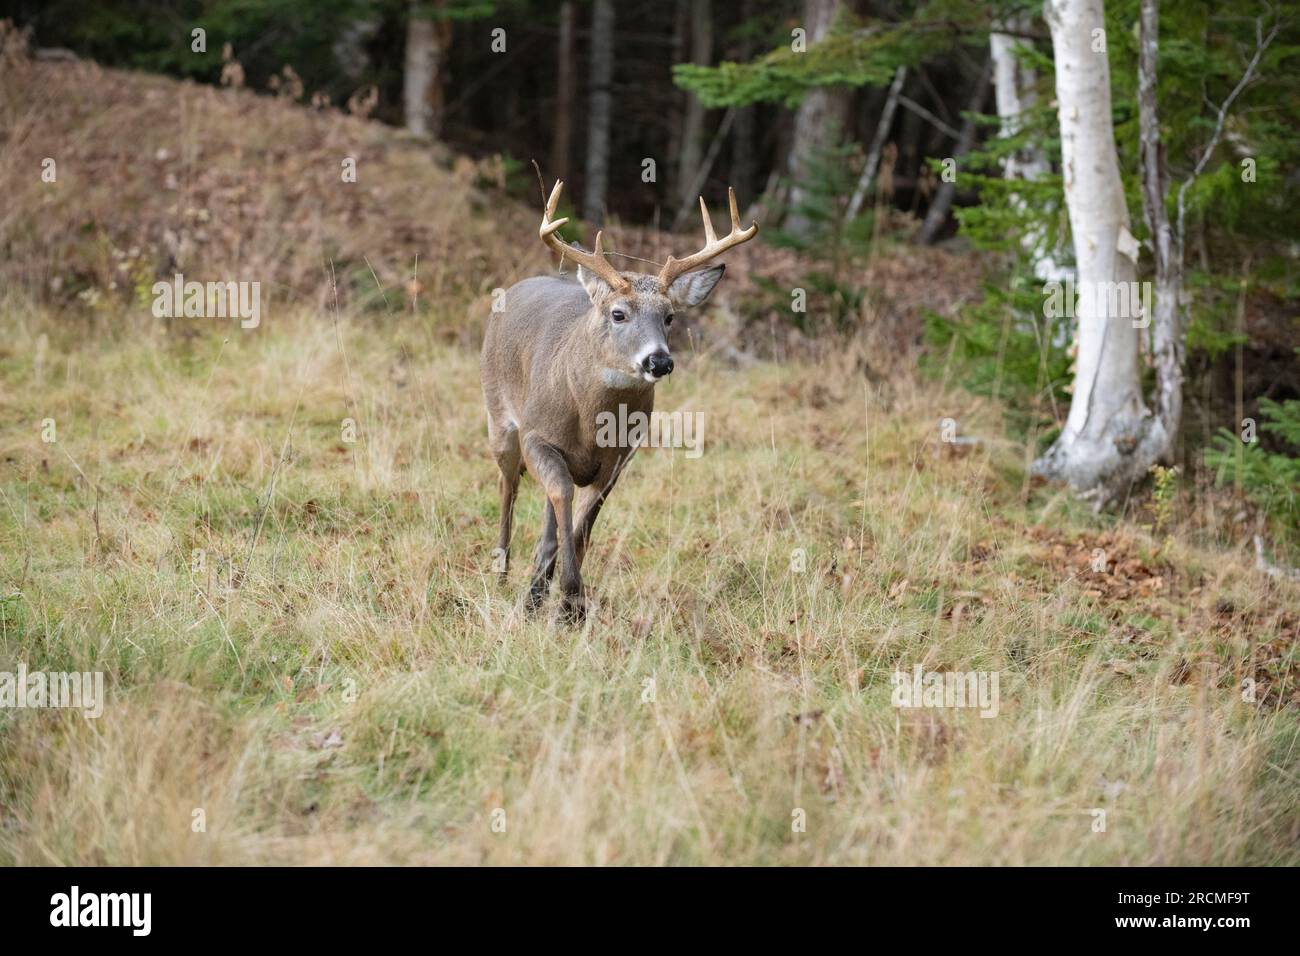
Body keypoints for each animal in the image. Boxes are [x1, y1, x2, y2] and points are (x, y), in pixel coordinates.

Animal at [481, 180, 758, 621]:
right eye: (618, 314)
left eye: (669, 317)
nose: (659, 361)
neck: (590, 422)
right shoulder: (537, 435)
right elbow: (561, 494)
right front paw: (565, 595)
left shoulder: (621, 457)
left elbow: (581, 524)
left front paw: (568, 605)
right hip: (499, 416)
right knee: (509, 487)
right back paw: (503, 572)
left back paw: (537, 586)